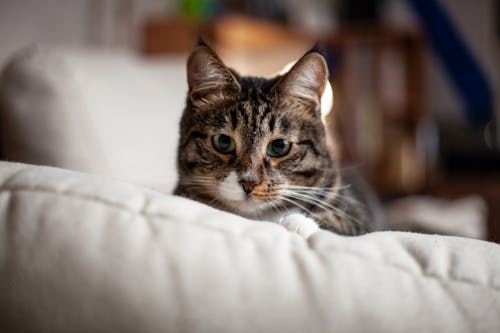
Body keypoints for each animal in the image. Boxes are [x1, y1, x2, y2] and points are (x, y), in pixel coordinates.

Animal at [174, 39, 384, 236]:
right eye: (223, 142)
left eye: (279, 146)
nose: (248, 183)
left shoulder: (359, 213)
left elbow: (345, 220)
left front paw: (298, 223)